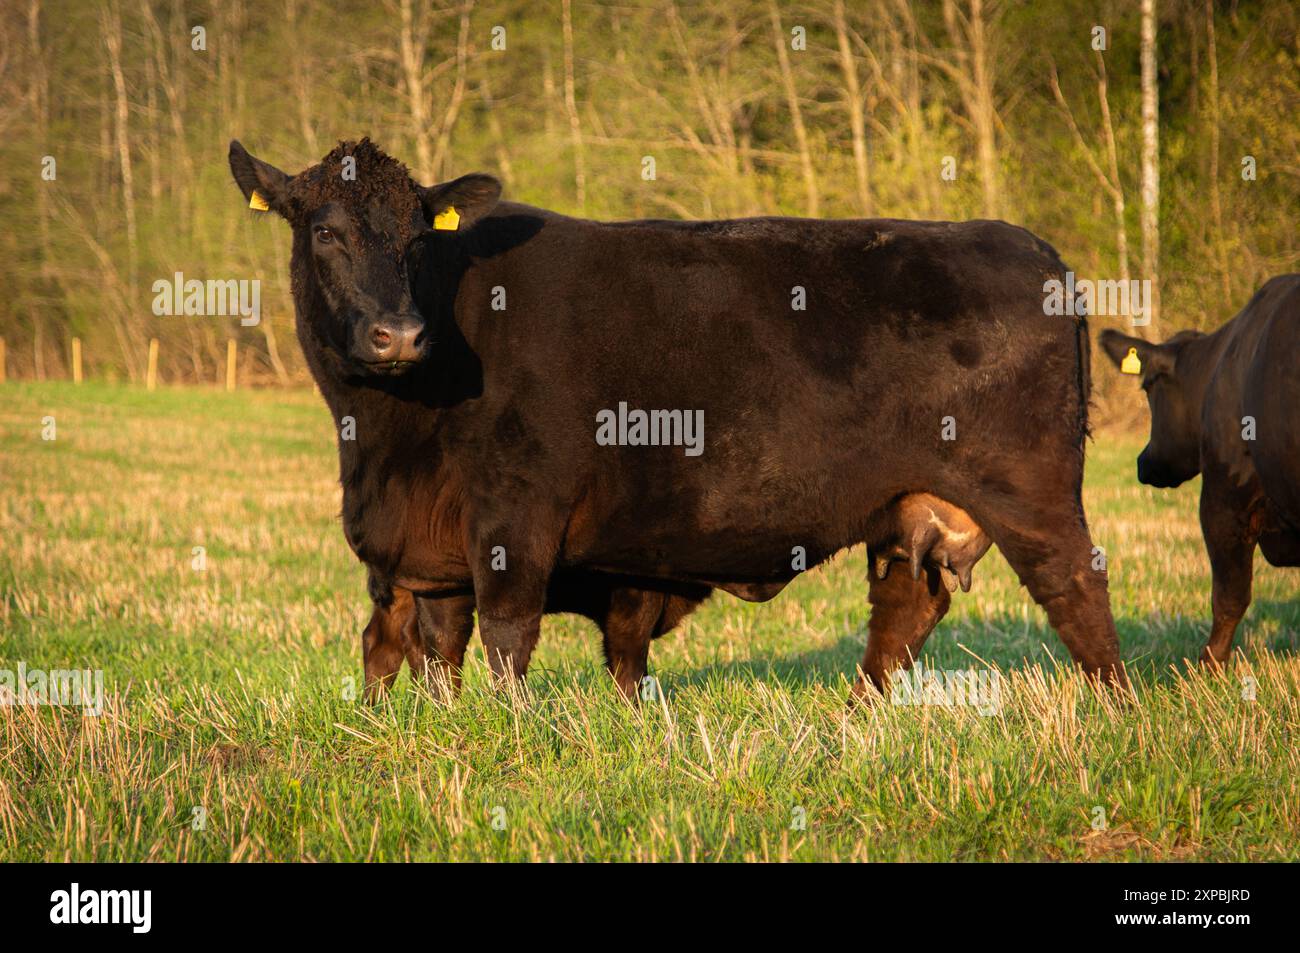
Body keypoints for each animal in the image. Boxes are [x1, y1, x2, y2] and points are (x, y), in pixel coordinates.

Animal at [228, 137, 1127, 703]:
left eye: (419, 238)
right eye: (325, 231)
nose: (399, 333)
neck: (386, 440)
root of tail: (1034, 248)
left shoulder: (516, 512)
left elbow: (508, 637)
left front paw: (508, 733)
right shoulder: (428, 547)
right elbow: (434, 648)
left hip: (1032, 490)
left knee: (1076, 587)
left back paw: (1119, 712)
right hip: (911, 506)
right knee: (903, 611)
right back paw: (853, 721)